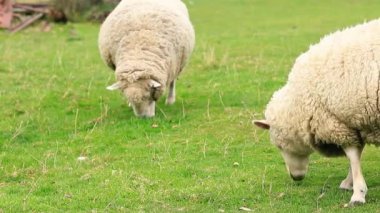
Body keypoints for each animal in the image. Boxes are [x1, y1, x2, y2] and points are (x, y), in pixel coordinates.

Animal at [254, 19, 380, 206]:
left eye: (279, 145)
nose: (295, 177)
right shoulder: (353, 120)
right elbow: (357, 153)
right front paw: (349, 182)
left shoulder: (336, 122)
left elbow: (352, 155)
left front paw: (358, 193)